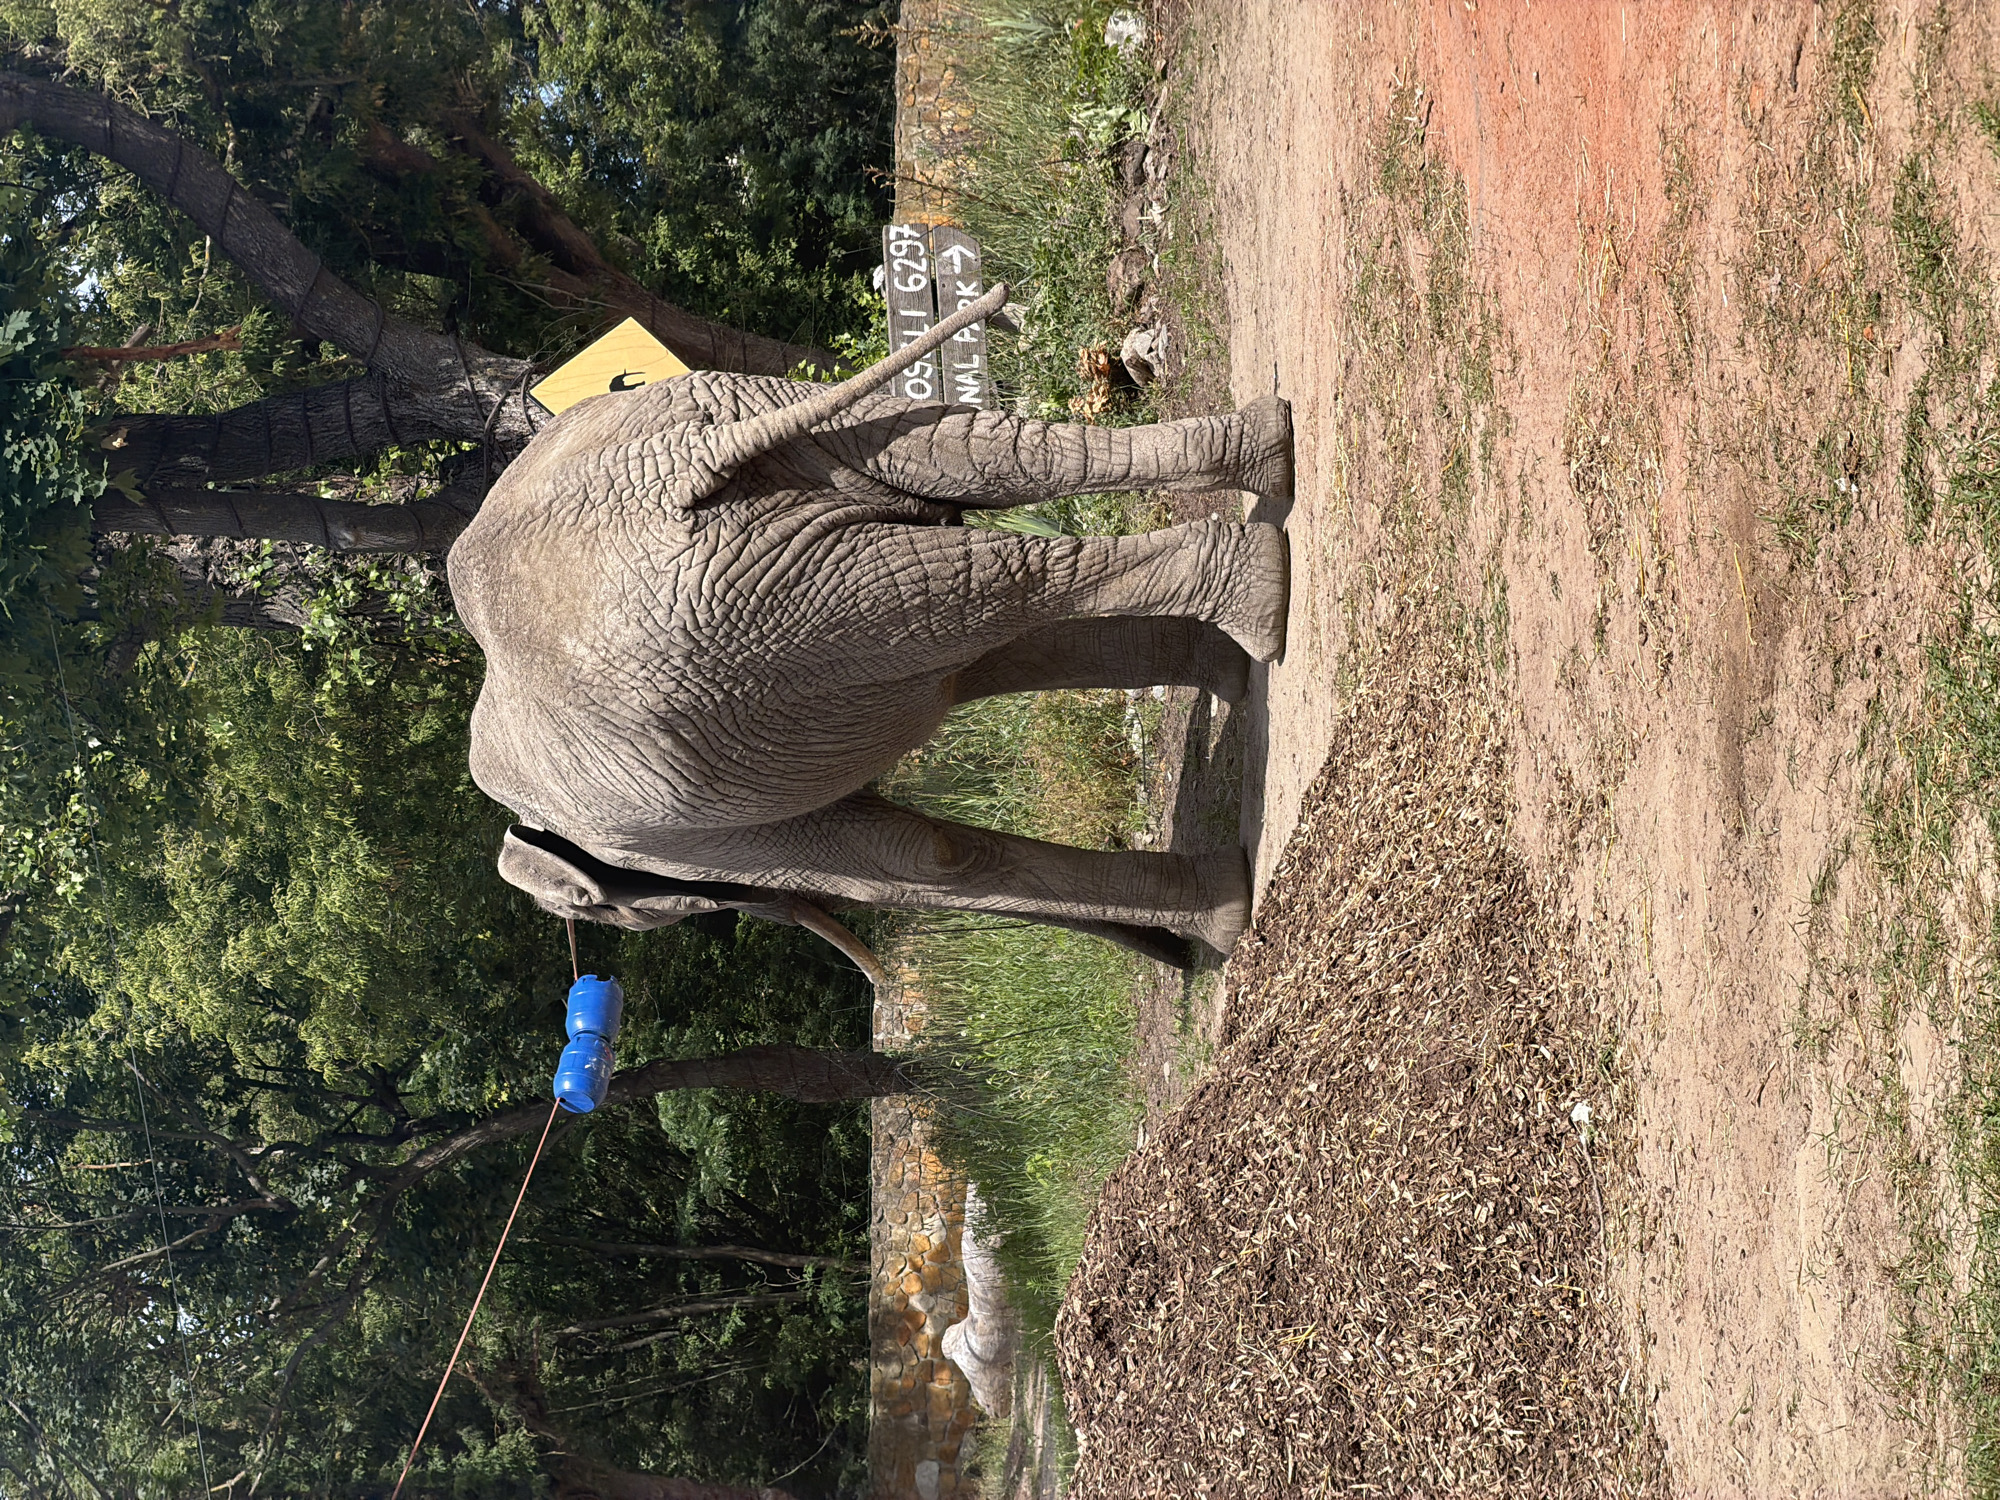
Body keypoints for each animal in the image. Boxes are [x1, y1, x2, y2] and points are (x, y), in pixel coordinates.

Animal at [450, 286, 1294, 974]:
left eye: (616, 916)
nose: (1172, 963)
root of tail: (663, 472)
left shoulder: (666, 835)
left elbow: (916, 855)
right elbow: (990, 666)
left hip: (729, 599)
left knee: (977, 548)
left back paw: (1261, 596)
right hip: (774, 529)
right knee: (972, 495)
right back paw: (1269, 486)